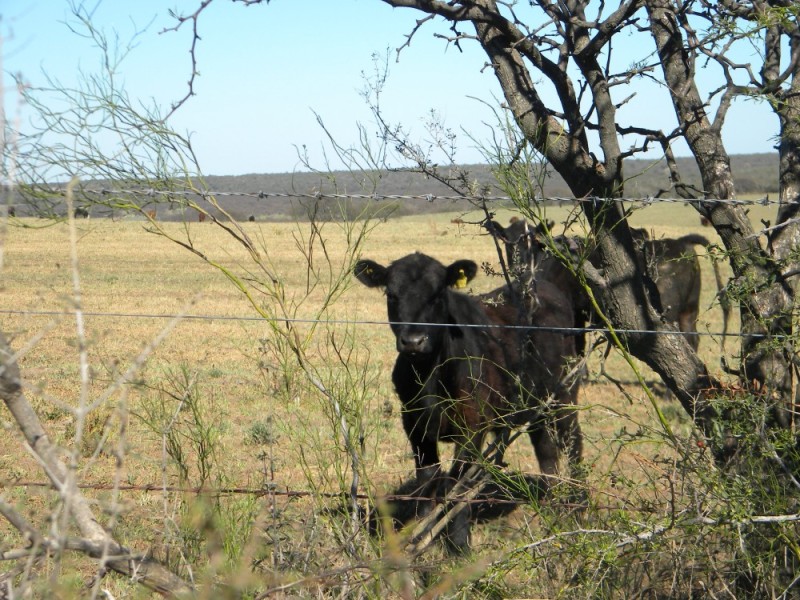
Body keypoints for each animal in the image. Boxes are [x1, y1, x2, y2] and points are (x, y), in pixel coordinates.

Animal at [356, 250, 580, 552]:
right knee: (545, 449)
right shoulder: (414, 424)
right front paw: (423, 531)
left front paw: (459, 545)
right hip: (535, 404)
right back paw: (548, 501)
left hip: (565, 393)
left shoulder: (472, 426)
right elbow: (428, 477)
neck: (430, 375)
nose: (414, 341)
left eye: (439, 294)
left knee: (573, 442)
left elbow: (457, 484)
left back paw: (579, 504)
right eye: (391, 294)